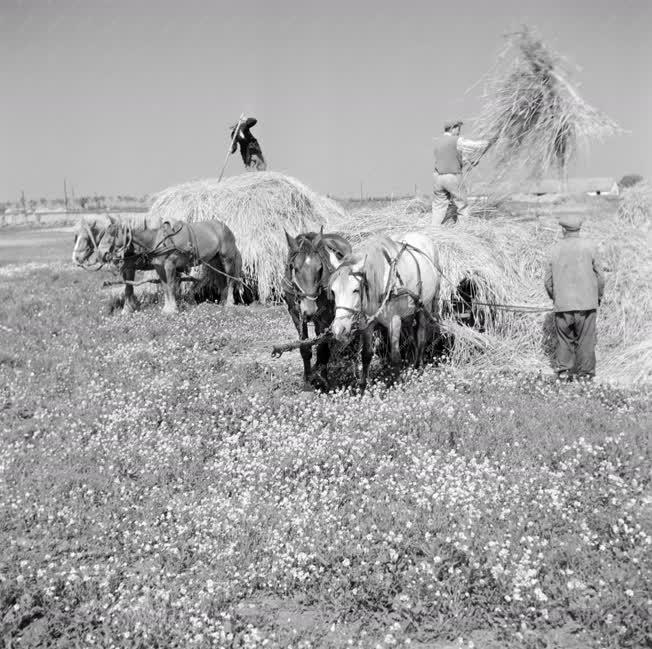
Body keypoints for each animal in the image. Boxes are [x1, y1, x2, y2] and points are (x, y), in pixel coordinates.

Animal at [99, 215, 244, 314]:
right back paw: (223, 301)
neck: (157, 240)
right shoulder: (159, 267)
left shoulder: (170, 265)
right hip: (215, 261)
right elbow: (165, 287)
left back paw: (229, 303)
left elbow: (170, 285)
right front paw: (166, 308)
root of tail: (226, 228)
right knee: (221, 280)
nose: (102, 254)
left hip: (227, 259)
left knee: (231, 280)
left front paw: (172, 309)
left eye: (112, 234)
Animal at [282, 228, 352, 390]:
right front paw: (308, 380)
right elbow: (305, 347)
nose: (310, 309)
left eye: (320, 268)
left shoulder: (325, 316)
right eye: (295, 268)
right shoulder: (295, 314)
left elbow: (322, 348)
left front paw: (323, 379)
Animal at [328, 233, 440, 394]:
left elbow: (395, 356)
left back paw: (418, 369)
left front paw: (397, 385)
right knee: (413, 337)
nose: (339, 329)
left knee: (421, 338)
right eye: (333, 291)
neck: (382, 280)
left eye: (356, 289)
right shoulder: (366, 323)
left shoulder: (395, 321)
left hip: (424, 307)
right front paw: (362, 389)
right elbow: (366, 355)